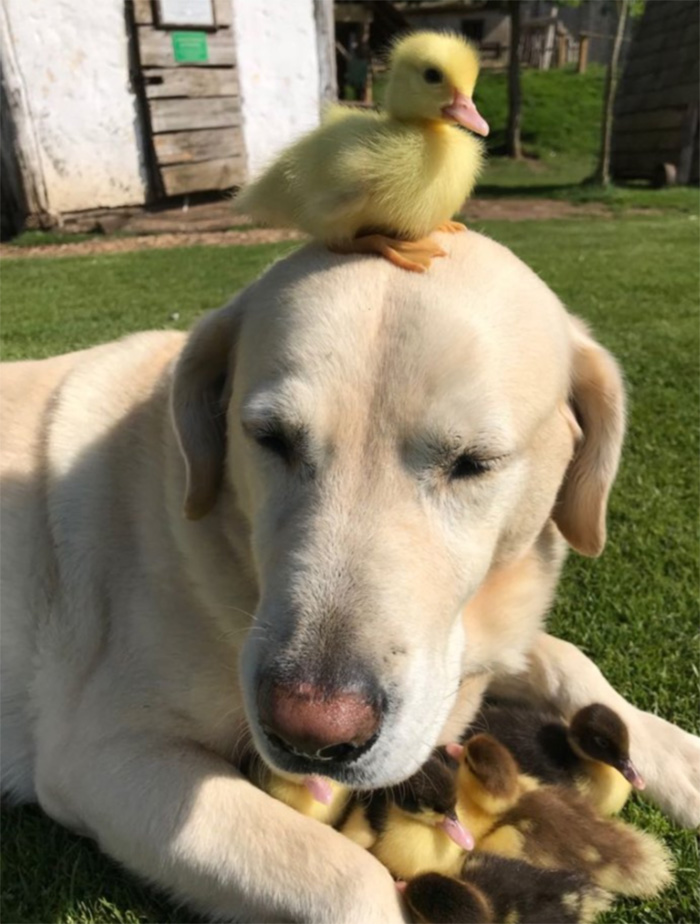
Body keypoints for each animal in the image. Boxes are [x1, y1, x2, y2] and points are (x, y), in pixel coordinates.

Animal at [0, 233, 696, 924]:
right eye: (270, 438)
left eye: (474, 462)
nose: (310, 736)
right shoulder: (103, 755)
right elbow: (348, 880)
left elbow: (566, 659)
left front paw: (682, 756)